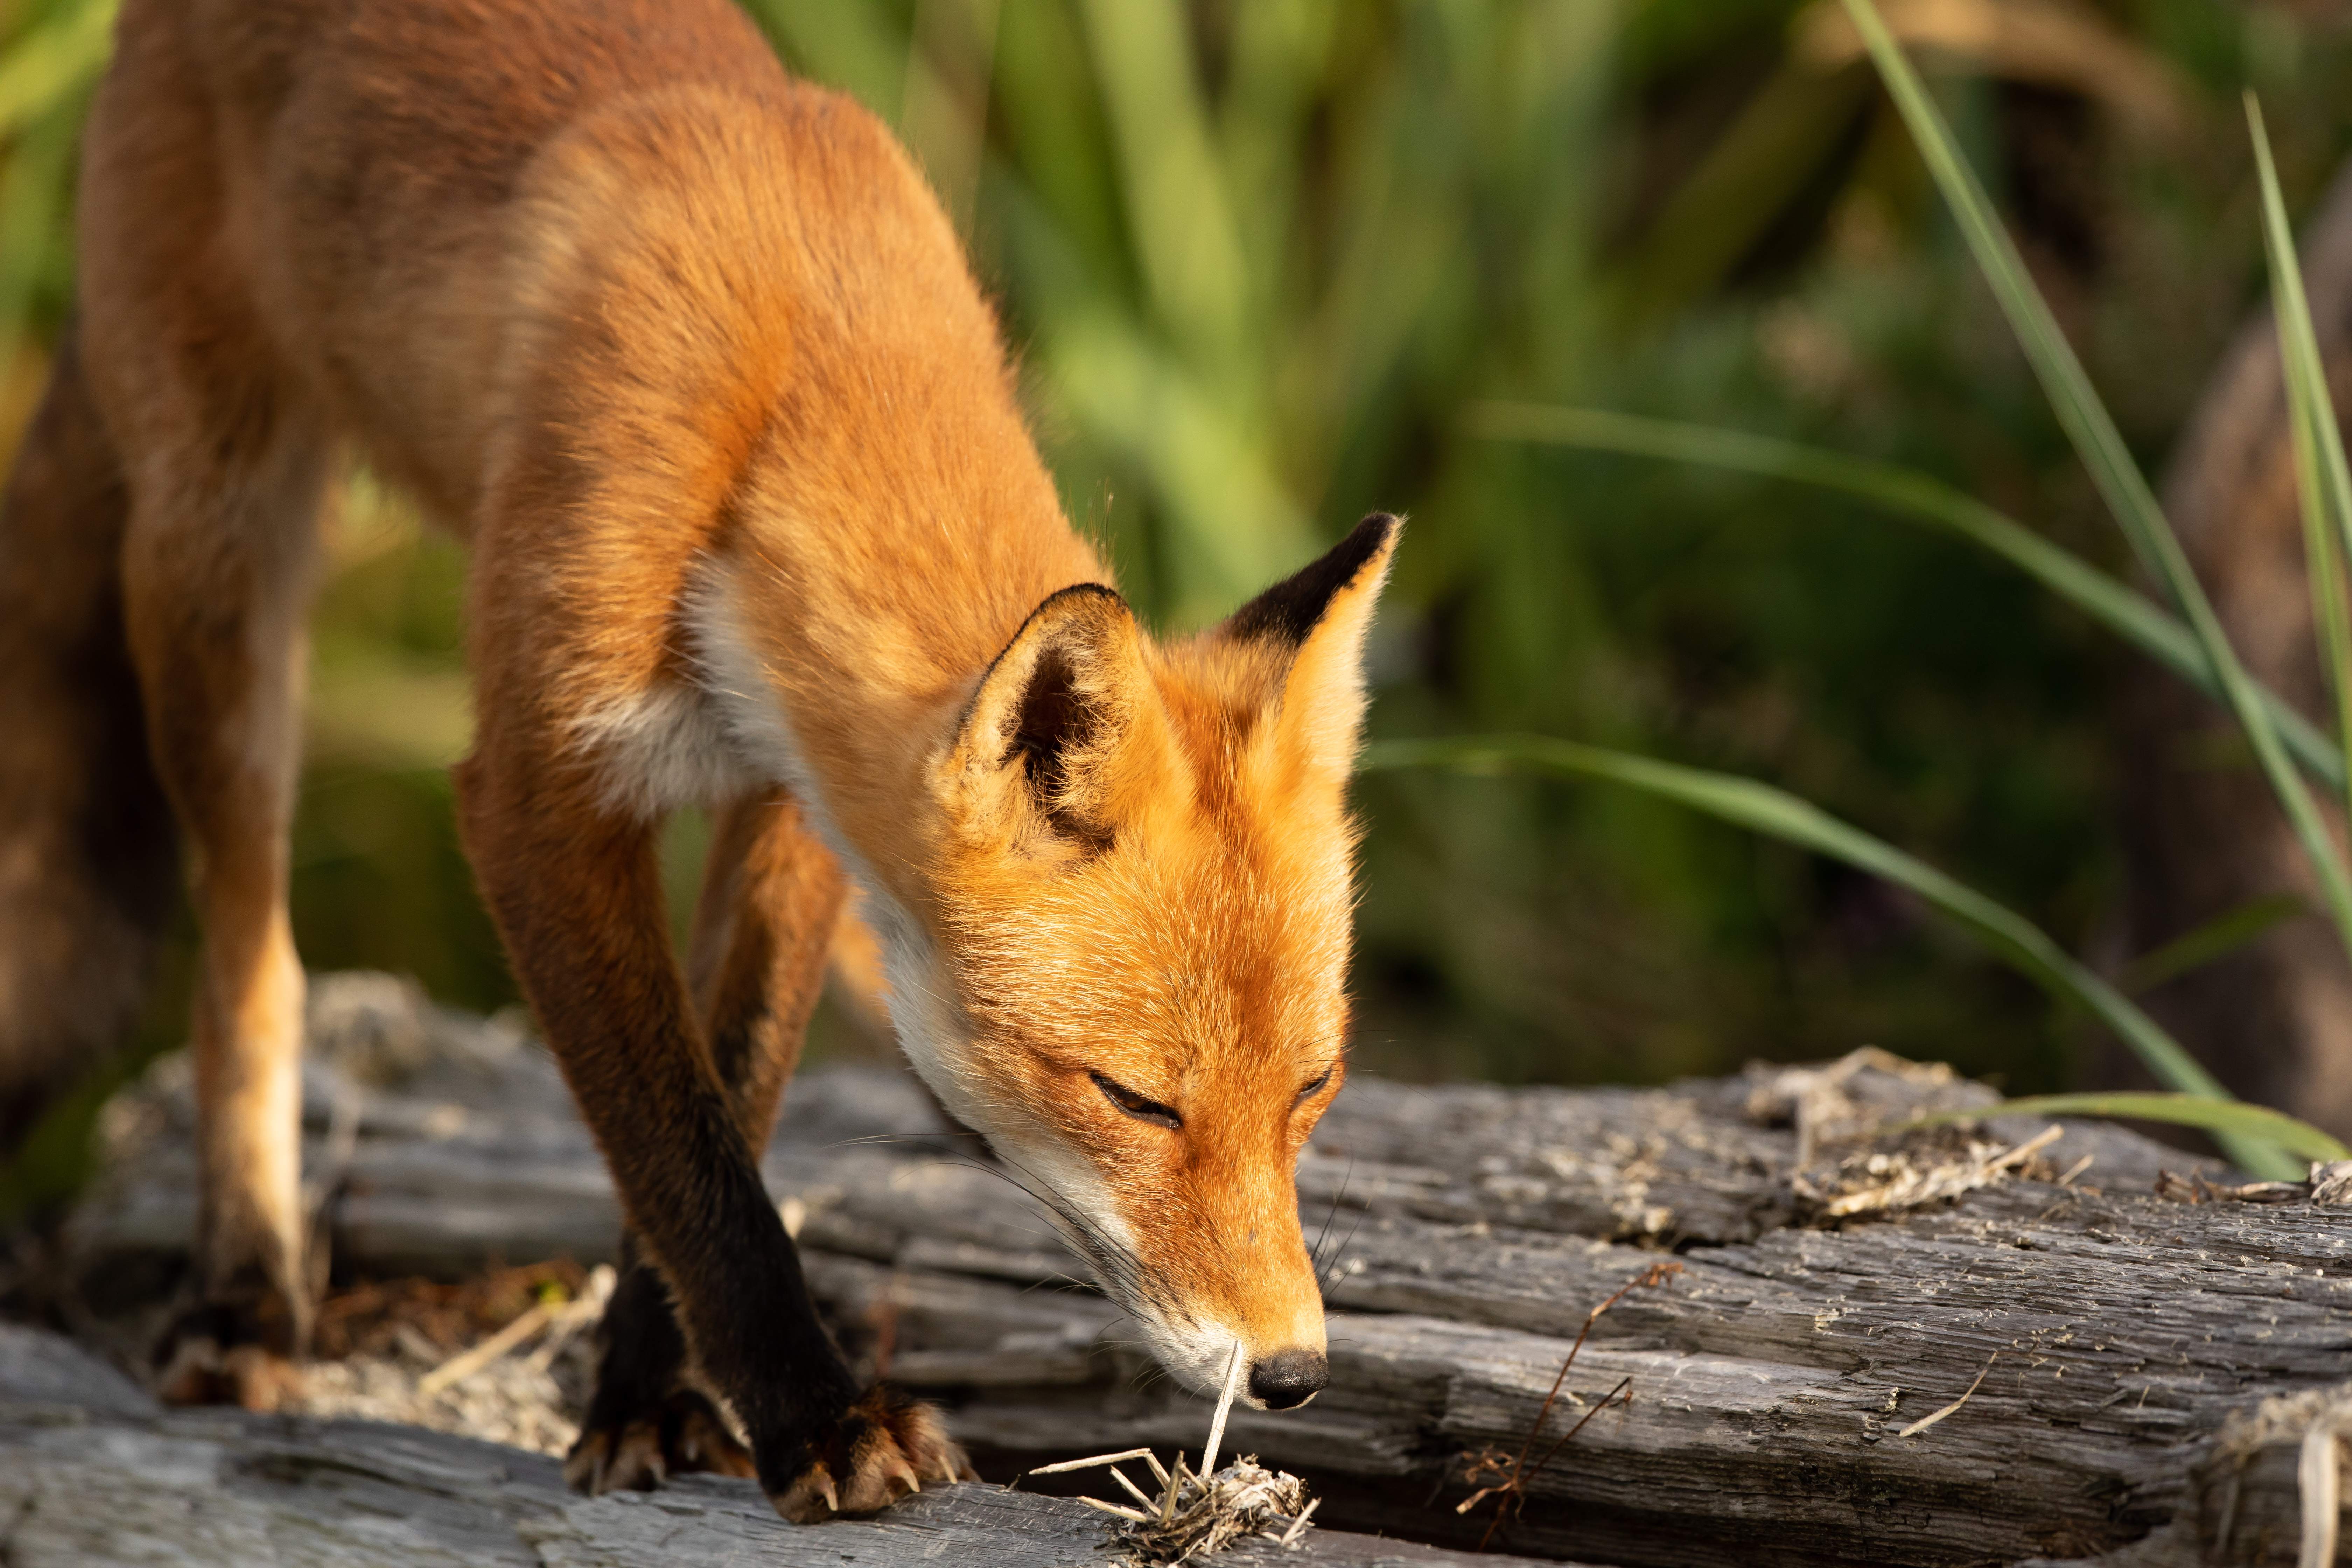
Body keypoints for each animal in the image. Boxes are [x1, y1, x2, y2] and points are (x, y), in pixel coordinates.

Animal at [0, 0, 1392, 1523]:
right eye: (1136, 1100)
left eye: (1314, 1090)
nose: (1292, 1376)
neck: (792, 346)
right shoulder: (538, 793)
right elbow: (678, 1143)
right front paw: (819, 1417)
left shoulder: (794, 797)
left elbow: (730, 1095)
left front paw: (650, 1399)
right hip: (219, 579)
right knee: (247, 964)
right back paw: (243, 1300)